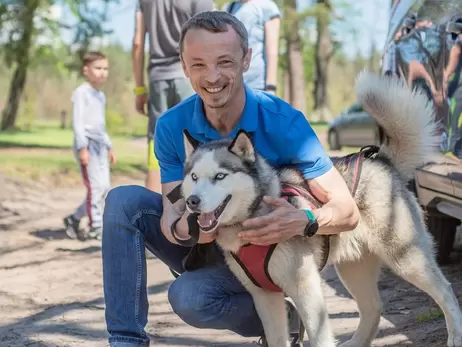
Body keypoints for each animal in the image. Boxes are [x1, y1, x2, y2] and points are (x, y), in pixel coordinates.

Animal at [181, 71, 462, 347]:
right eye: (194, 177)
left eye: (219, 176)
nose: (191, 201)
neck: (253, 215)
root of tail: (381, 160)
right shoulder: (265, 297)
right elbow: (277, 338)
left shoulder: (306, 287)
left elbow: (319, 336)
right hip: (353, 268)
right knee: (373, 307)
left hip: (405, 257)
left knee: (446, 290)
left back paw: (455, 335)